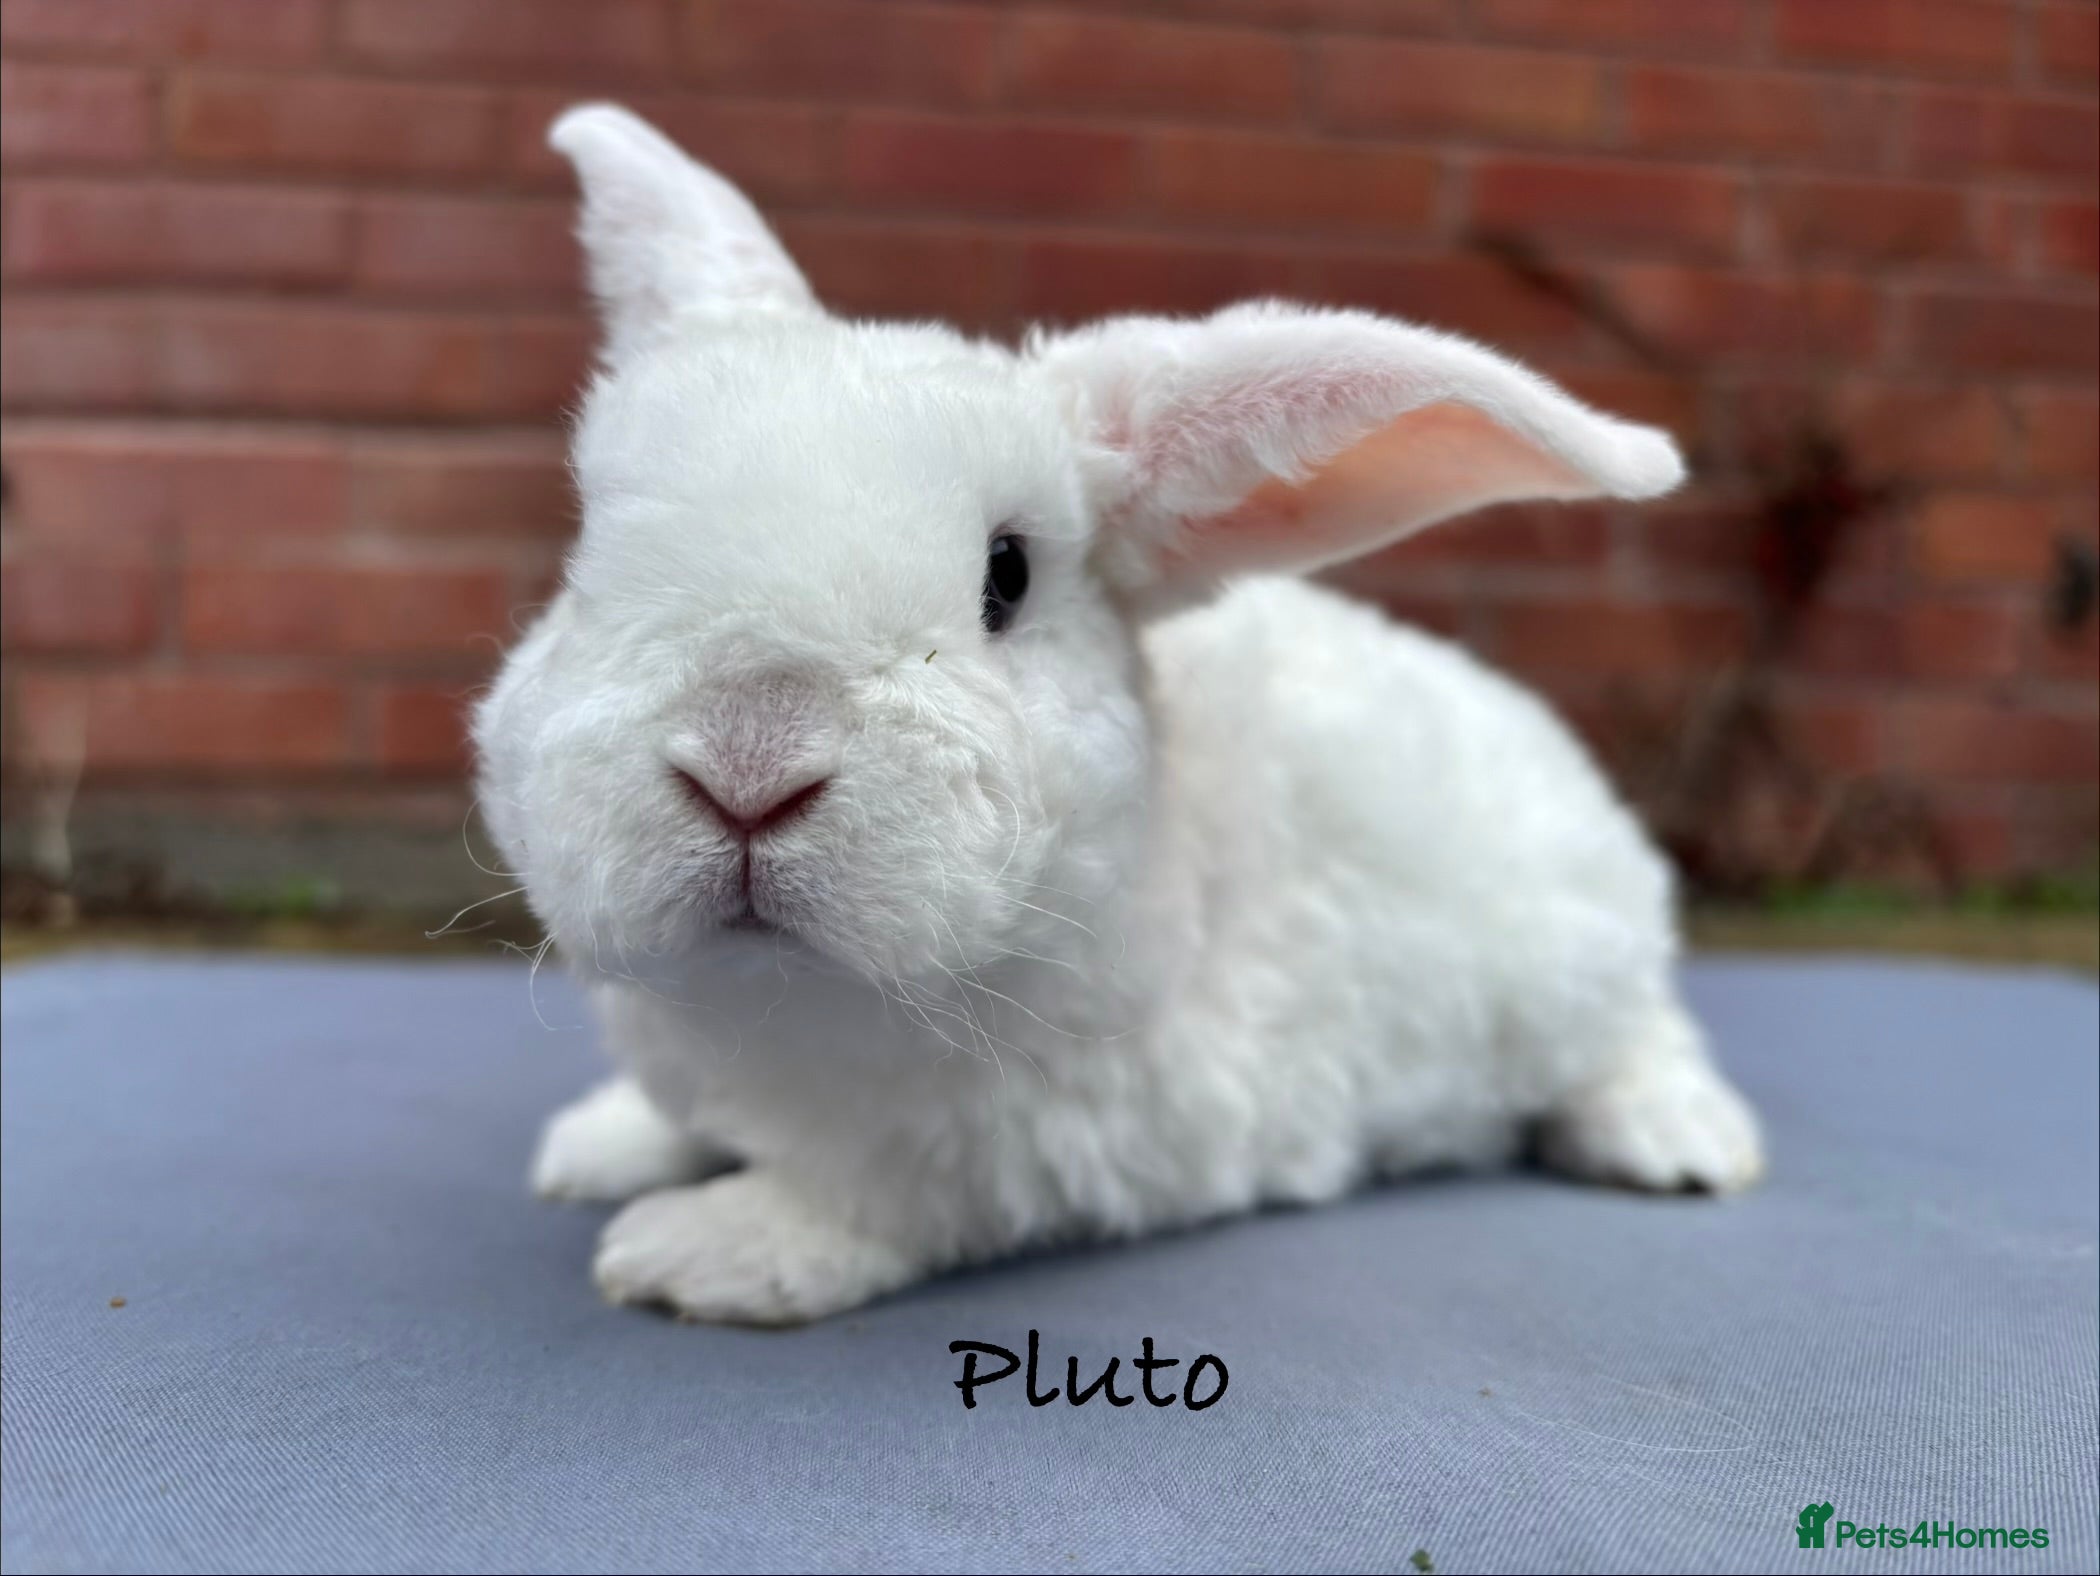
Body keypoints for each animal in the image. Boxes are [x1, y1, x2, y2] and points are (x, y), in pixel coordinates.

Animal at [479, 104, 1764, 1327]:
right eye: (586, 553)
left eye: (1007, 576)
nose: (747, 767)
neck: (784, 1008)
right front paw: (598, 1144)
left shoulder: (1063, 1133)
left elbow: (877, 1195)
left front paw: (700, 1252)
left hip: (1580, 965)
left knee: (1641, 1034)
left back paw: (1679, 1142)